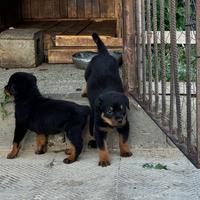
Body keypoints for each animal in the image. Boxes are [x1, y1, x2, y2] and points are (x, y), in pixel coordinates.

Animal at [85, 33, 133, 167]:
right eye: (109, 111)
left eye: (123, 110)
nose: (119, 119)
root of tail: (103, 54)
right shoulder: (99, 130)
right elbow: (102, 147)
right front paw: (104, 160)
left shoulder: (125, 125)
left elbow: (123, 140)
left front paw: (125, 151)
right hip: (87, 72)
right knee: (85, 81)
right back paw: (84, 92)